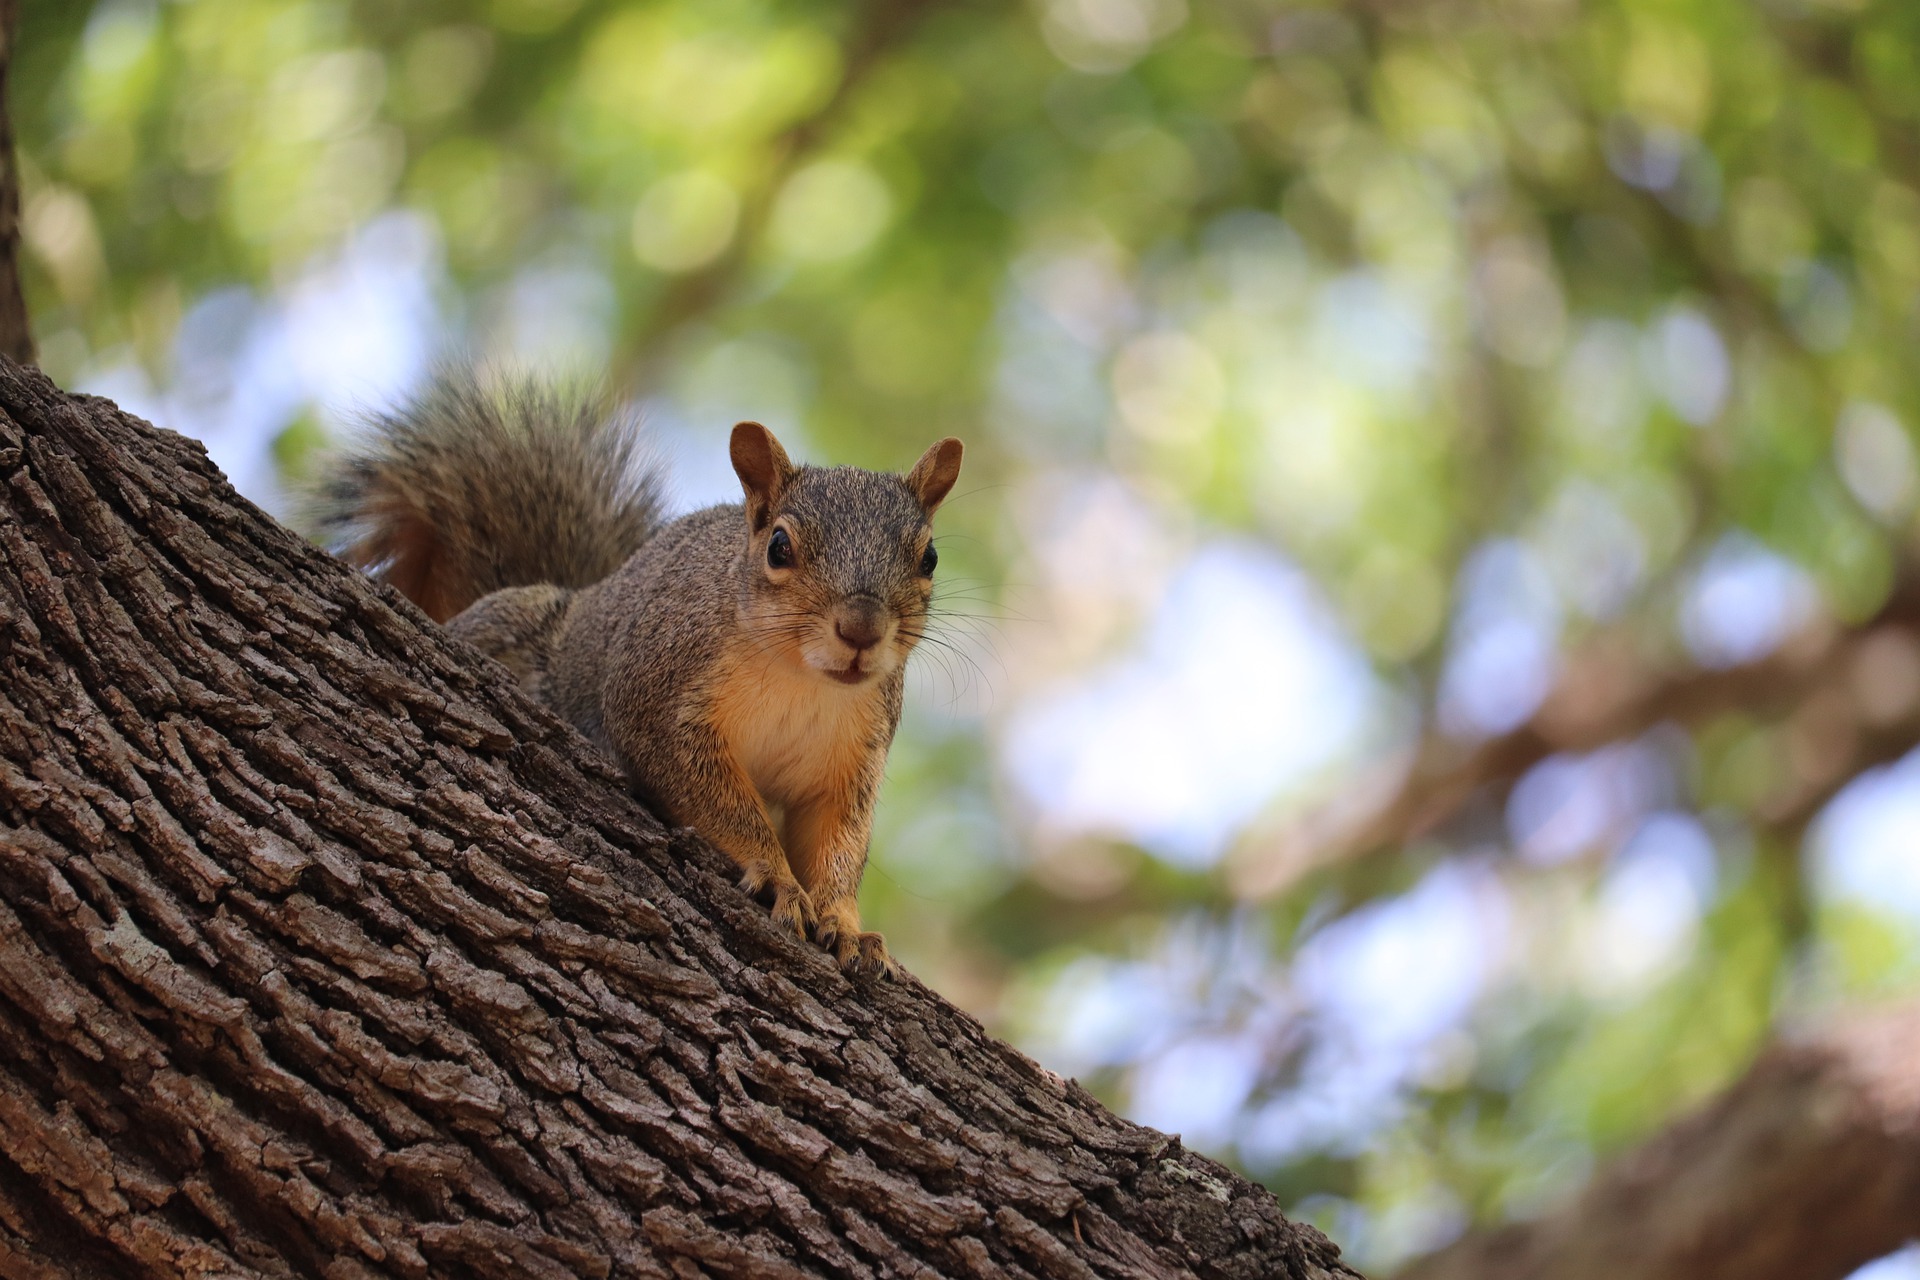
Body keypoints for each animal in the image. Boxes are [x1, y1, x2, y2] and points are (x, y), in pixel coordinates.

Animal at [318, 368, 975, 971]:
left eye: (929, 558)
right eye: (779, 547)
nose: (861, 631)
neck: (802, 680)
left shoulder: (850, 758)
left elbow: (838, 840)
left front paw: (845, 923)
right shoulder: (657, 700)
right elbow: (713, 797)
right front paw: (777, 877)